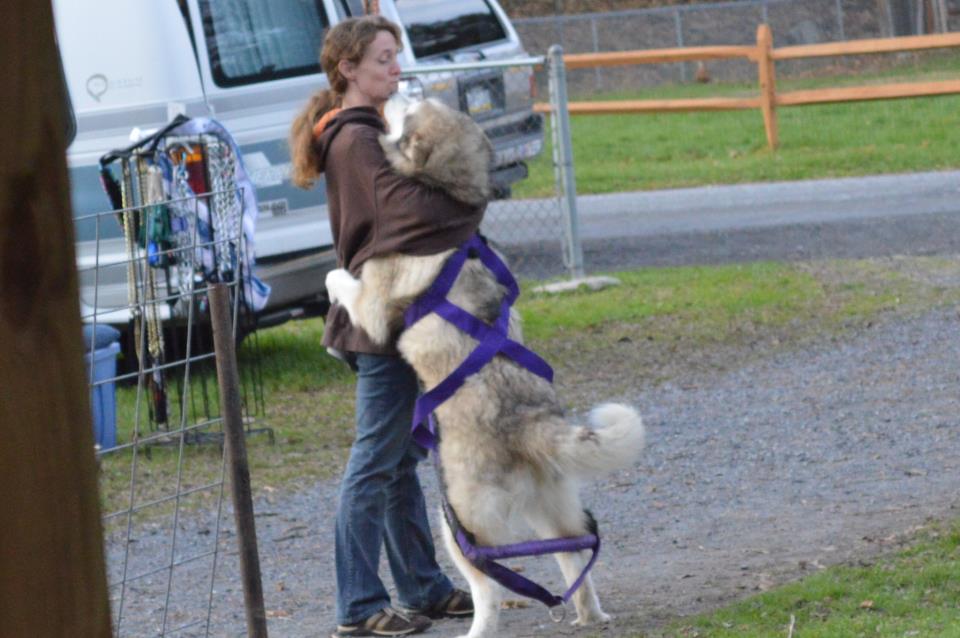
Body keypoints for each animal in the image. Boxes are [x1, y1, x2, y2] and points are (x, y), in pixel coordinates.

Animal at [326, 96, 648, 638]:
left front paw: (332, 282)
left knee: (490, 587)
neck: (447, 193)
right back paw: (590, 614)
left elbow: (344, 282)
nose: (393, 93)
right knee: (575, 552)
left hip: (457, 519)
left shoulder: (372, 304)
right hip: (554, 505)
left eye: (409, 108)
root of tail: (530, 421)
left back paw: (480, 627)